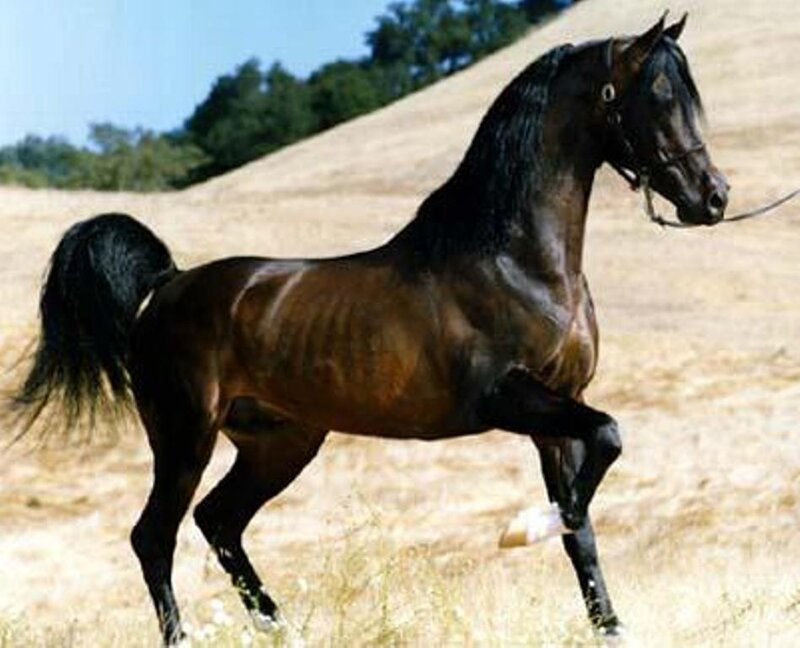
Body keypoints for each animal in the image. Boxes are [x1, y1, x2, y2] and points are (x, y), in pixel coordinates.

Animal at [14, 14, 728, 645]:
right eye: (659, 95)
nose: (713, 197)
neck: (515, 259)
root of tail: (169, 283)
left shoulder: (561, 407)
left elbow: (583, 523)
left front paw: (610, 625)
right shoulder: (507, 397)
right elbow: (604, 446)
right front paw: (522, 529)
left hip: (282, 442)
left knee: (219, 522)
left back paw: (286, 632)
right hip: (186, 436)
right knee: (154, 536)